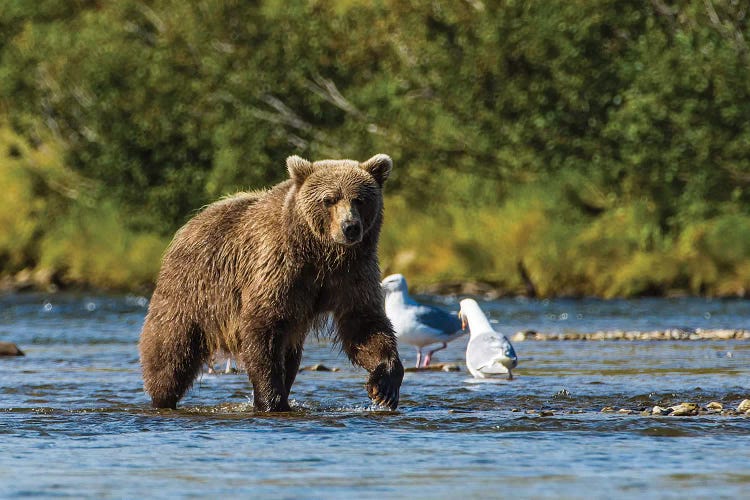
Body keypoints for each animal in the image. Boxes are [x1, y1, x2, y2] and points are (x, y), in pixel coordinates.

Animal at [137, 154, 402, 412]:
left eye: (359, 199)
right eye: (329, 199)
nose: (350, 227)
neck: (320, 253)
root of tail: (190, 223)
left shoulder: (352, 273)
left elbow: (364, 324)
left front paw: (384, 387)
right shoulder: (279, 267)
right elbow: (264, 329)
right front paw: (271, 400)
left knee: (291, 357)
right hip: (192, 289)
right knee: (170, 349)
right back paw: (162, 397)